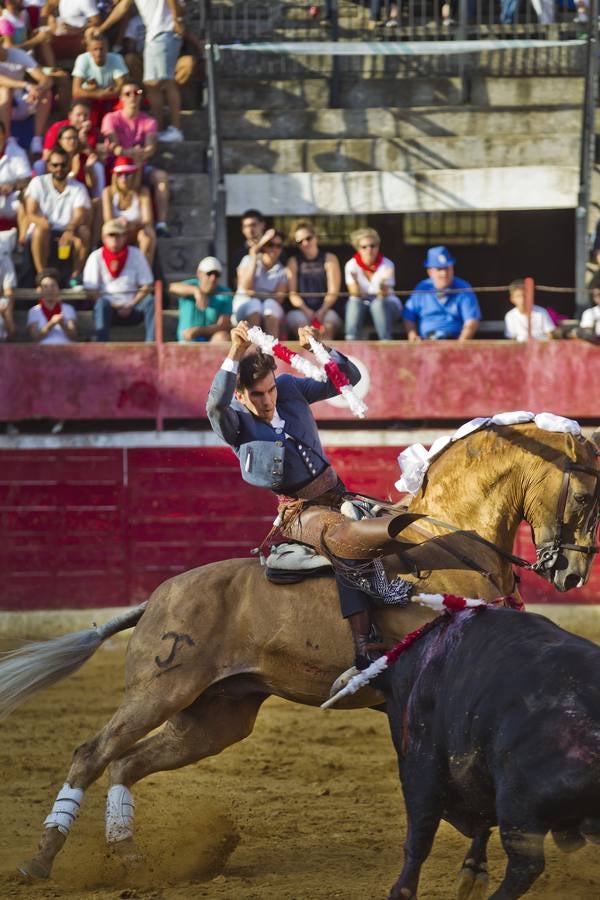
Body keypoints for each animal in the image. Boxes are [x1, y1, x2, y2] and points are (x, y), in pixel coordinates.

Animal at [382, 604, 600, 900]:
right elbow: (481, 821)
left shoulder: (422, 762)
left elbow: (420, 834)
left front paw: (402, 891)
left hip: (518, 809)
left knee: (525, 866)